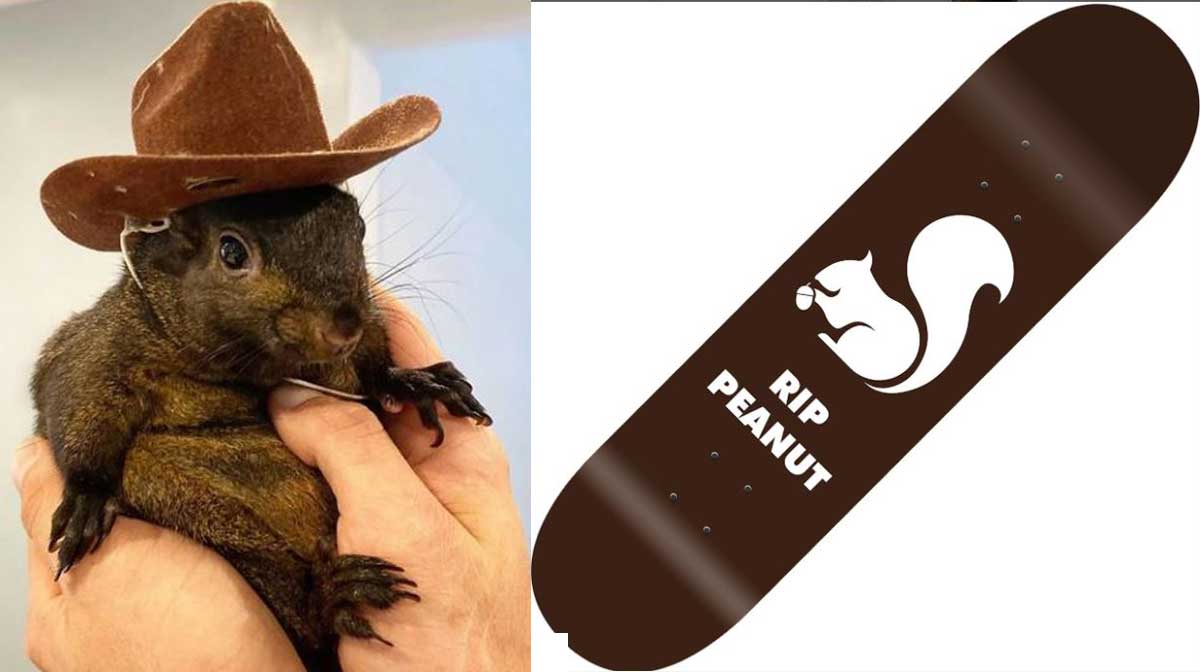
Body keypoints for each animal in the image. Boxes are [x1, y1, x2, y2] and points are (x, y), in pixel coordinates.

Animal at [30, 184, 492, 670]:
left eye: (359, 227)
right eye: (231, 251)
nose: (344, 327)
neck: (249, 369)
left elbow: (372, 367)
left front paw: (413, 382)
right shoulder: (100, 347)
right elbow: (78, 402)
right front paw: (87, 497)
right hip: (200, 513)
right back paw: (332, 597)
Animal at [796, 215, 1014, 393]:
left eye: (837, 267)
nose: (814, 277)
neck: (859, 290)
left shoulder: (846, 309)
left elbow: (834, 315)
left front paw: (815, 294)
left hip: (856, 335)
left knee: (841, 348)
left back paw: (825, 337)